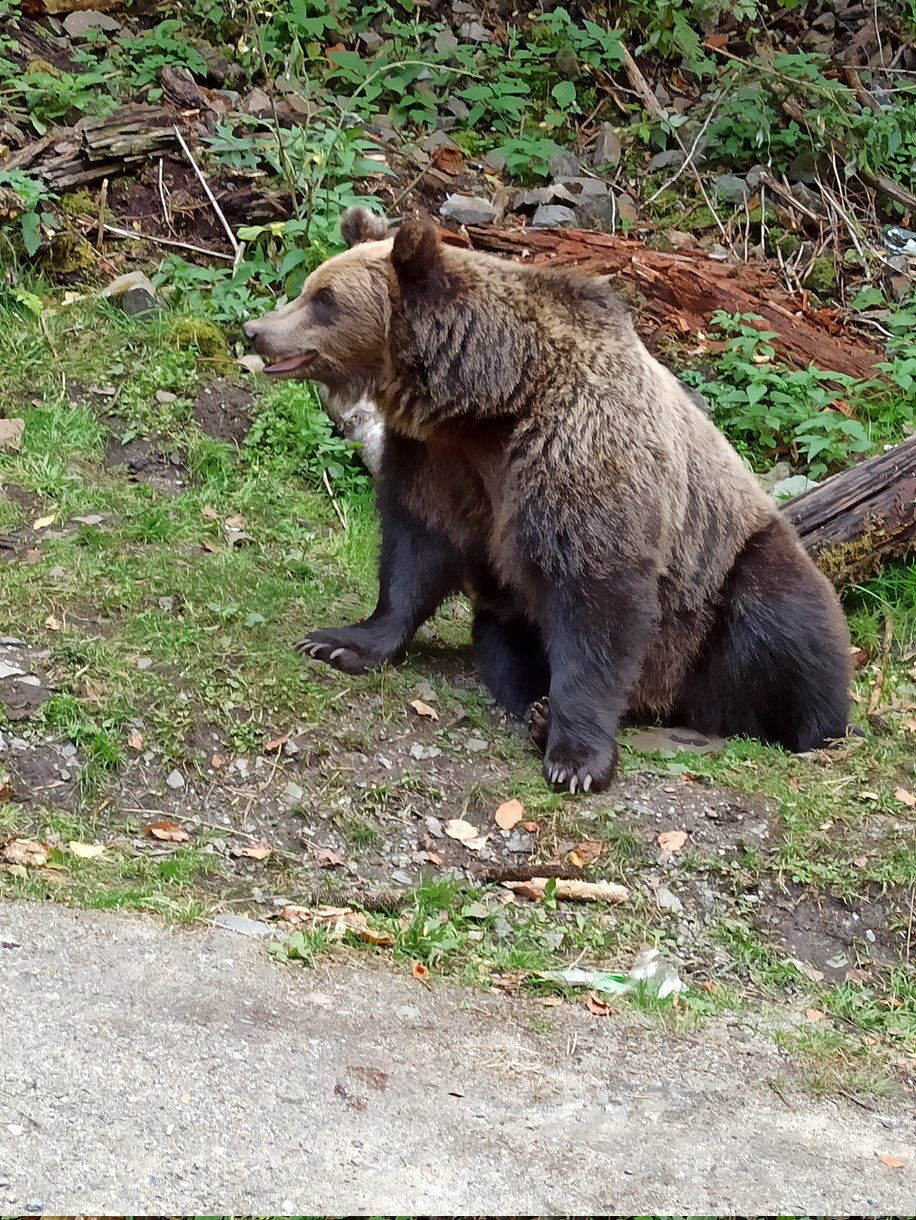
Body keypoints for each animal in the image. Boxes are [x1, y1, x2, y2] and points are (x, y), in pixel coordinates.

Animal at [243, 207, 853, 800]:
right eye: (311, 286)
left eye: (324, 300)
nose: (256, 330)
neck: (493, 400)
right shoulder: (440, 459)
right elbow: (416, 547)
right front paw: (339, 642)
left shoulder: (579, 448)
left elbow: (596, 596)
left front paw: (576, 759)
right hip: (514, 614)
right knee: (504, 648)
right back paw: (537, 708)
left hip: (721, 583)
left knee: (780, 625)